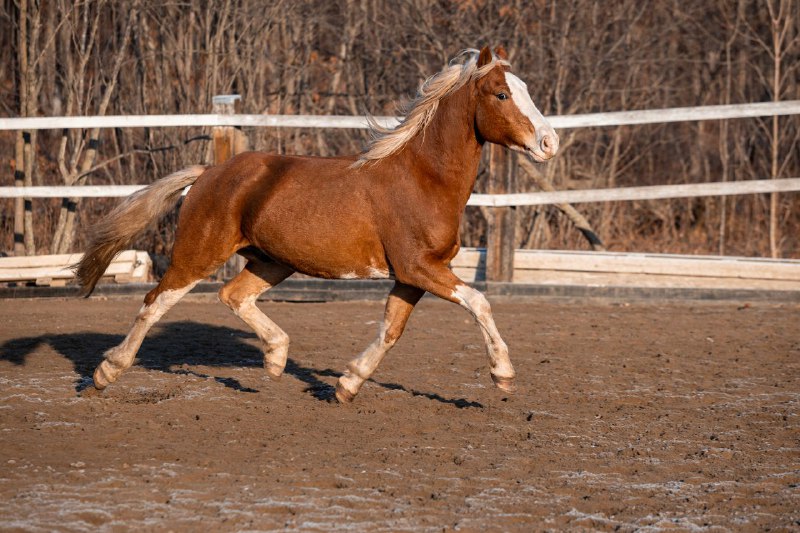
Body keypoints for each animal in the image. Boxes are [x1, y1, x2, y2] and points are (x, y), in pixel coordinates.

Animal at [78, 46, 560, 404]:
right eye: (501, 94)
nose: (549, 143)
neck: (423, 178)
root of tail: (210, 172)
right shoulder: (418, 267)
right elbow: (479, 301)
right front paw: (503, 374)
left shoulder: (411, 276)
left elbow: (391, 330)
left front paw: (346, 385)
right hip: (199, 252)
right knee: (155, 301)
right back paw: (105, 372)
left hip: (271, 260)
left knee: (233, 295)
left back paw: (275, 358)